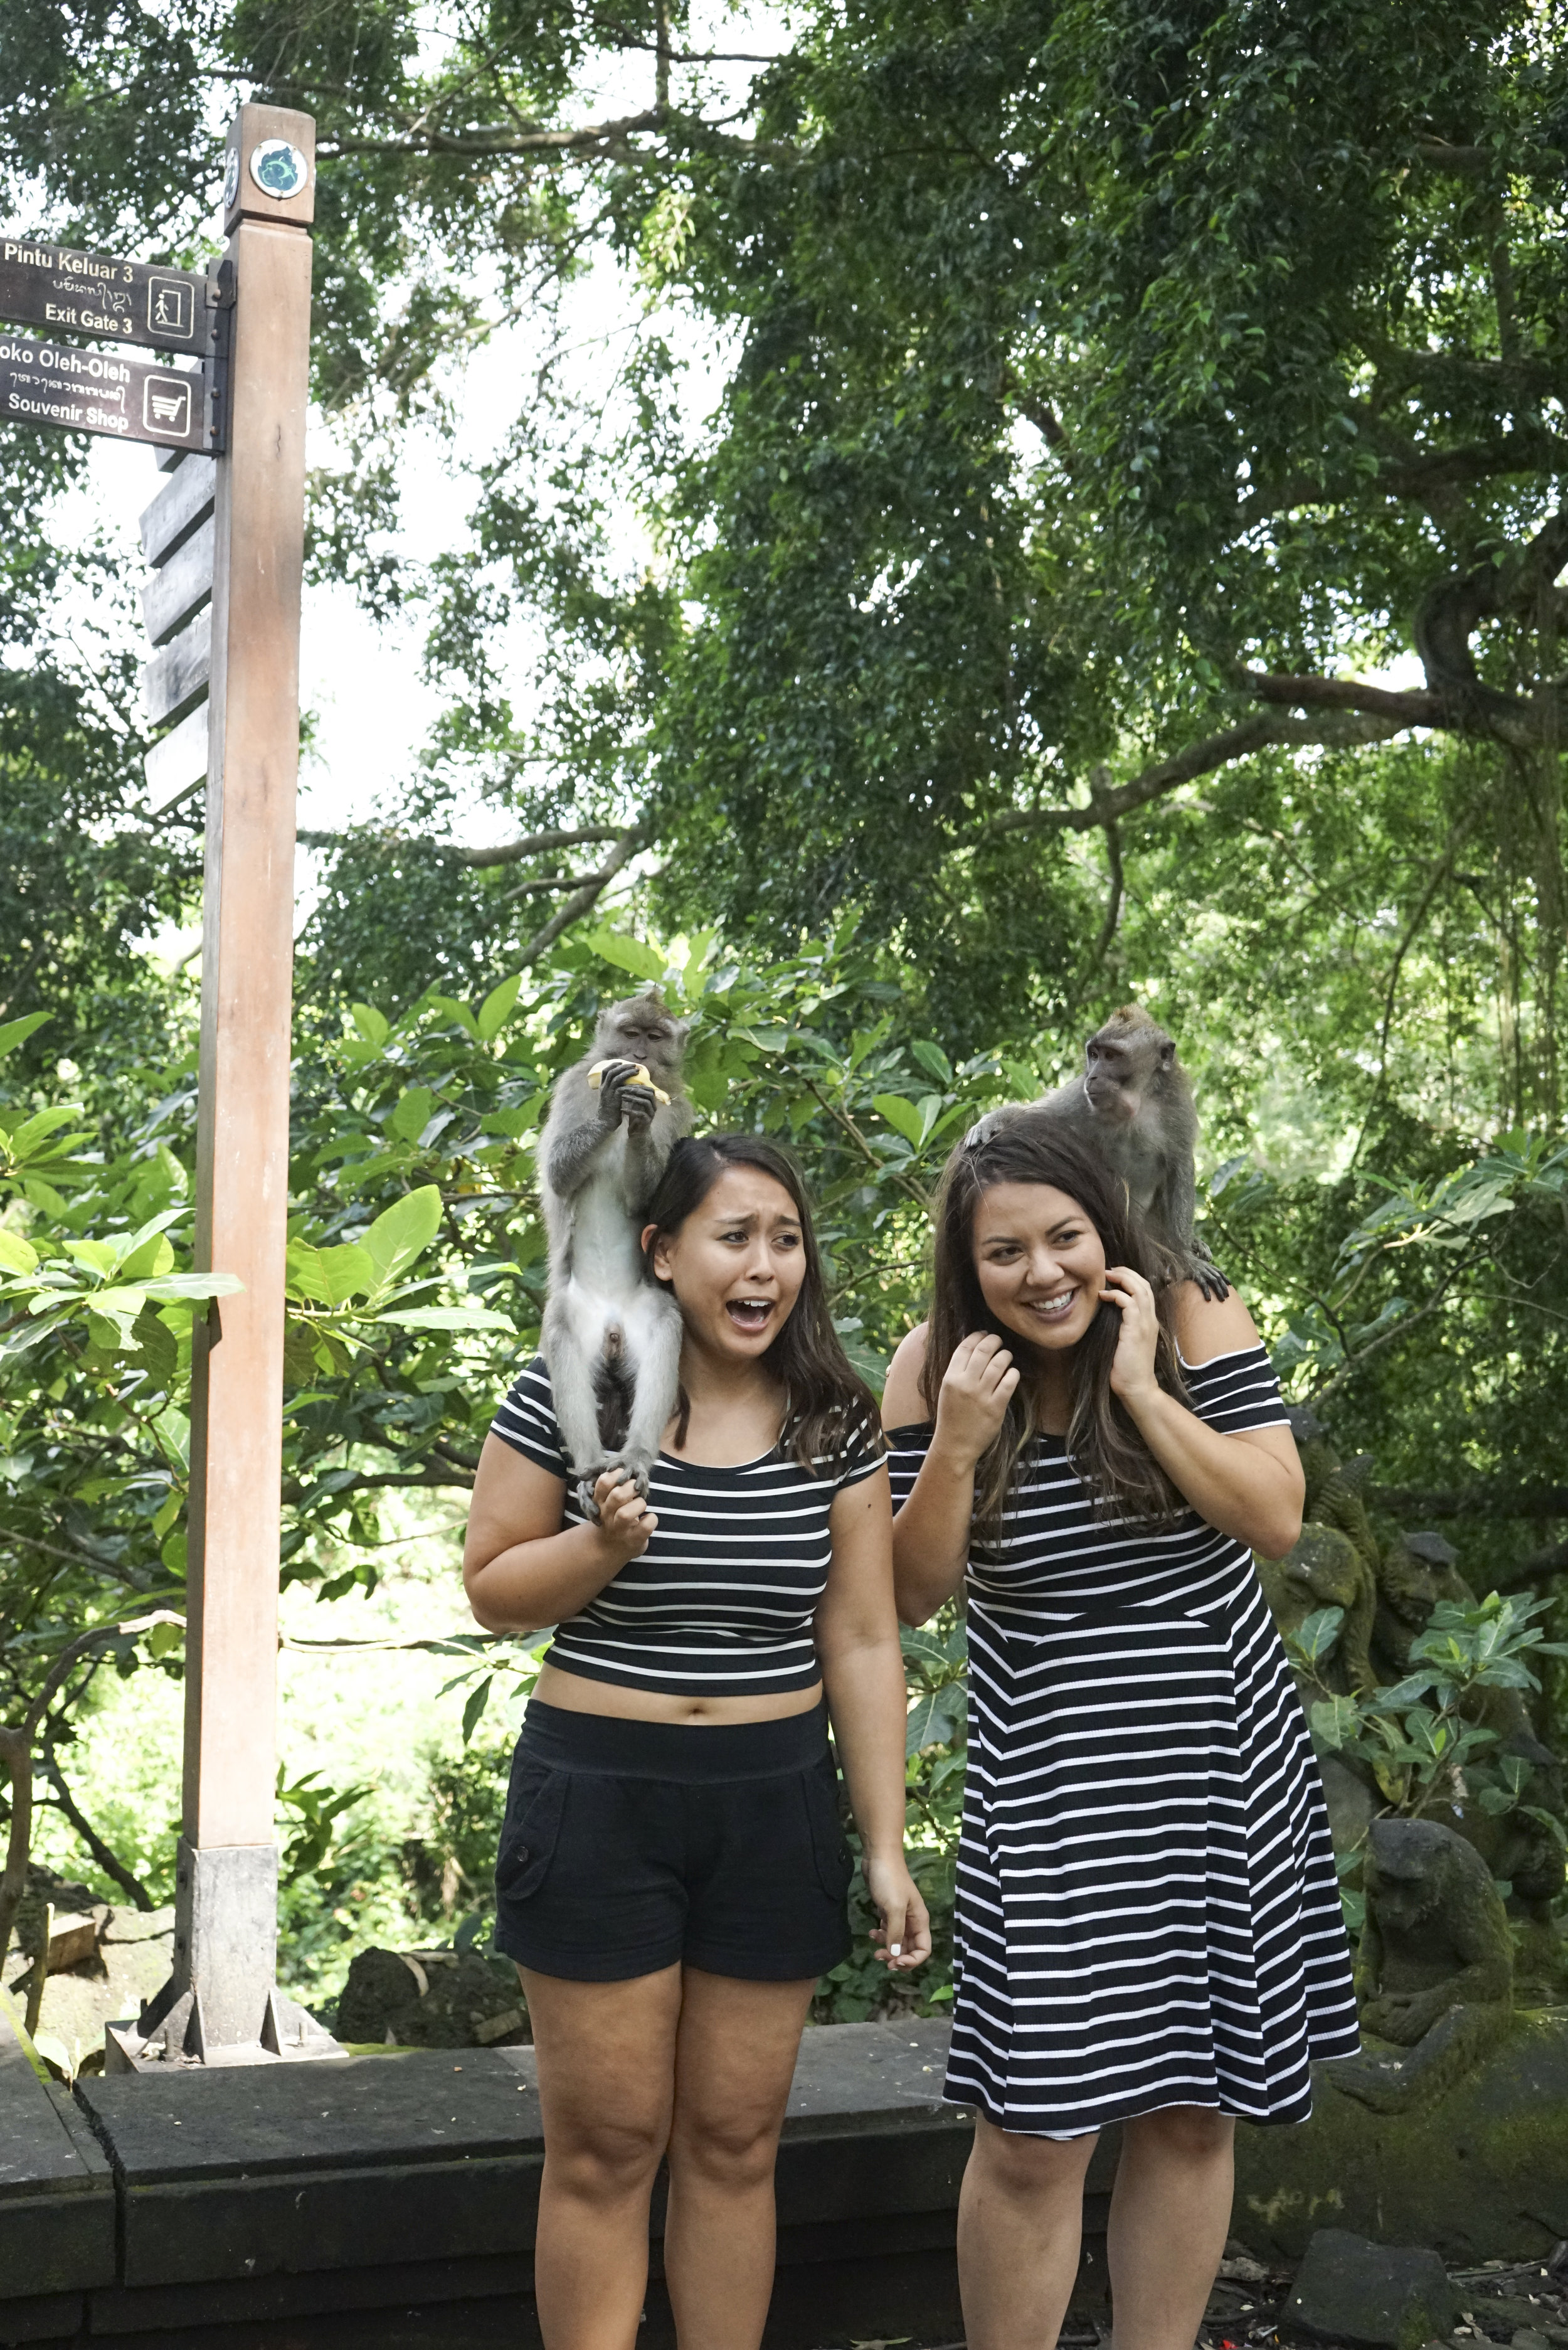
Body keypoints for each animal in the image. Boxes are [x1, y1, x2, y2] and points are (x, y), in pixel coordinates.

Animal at [973, 1001, 1232, 1306]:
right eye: (1094, 1055)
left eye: (1112, 1056)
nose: (1093, 1076)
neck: (1135, 1105)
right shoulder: (1079, 1100)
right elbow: (1040, 1115)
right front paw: (993, 1121)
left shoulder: (1176, 1104)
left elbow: (1180, 1165)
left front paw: (1184, 1254)